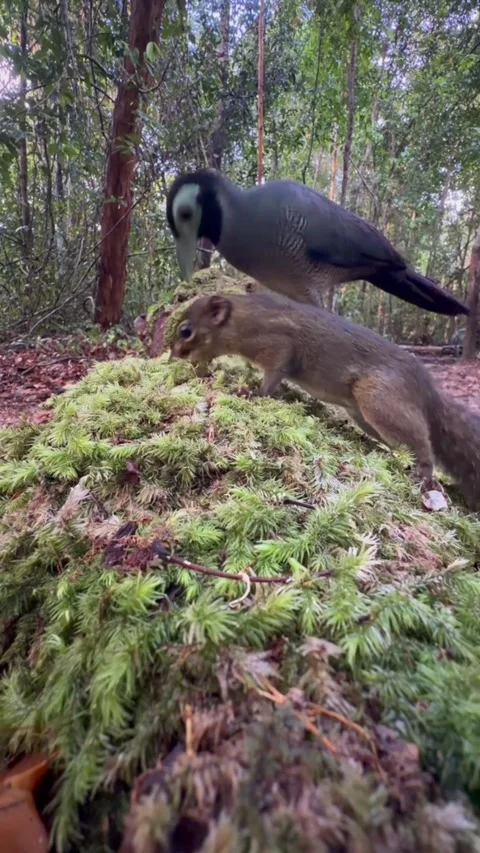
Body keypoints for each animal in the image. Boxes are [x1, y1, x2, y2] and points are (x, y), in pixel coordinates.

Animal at [169, 291, 480, 509]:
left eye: (186, 330)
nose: (173, 355)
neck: (244, 319)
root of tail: (428, 391)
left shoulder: (278, 343)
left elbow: (273, 375)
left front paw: (252, 392)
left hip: (379, 399)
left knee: (422, 442)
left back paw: (423, 473)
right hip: (364, 416)